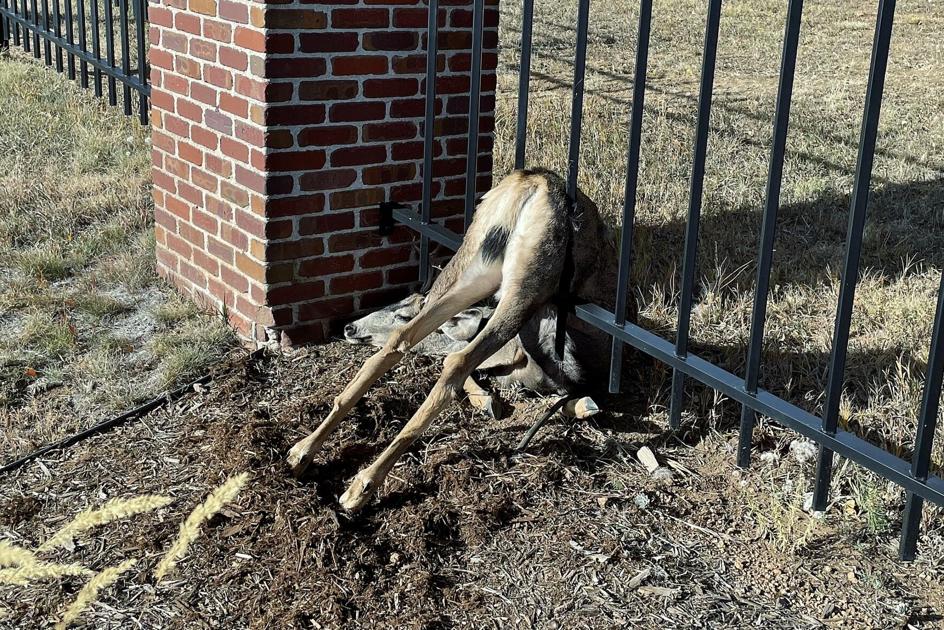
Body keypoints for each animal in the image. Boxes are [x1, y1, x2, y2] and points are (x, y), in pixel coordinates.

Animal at [287, 168, 624, 512]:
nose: (349, 329)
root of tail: (533, 180)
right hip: (524, 287)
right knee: (458, 362)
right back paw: (363, 484)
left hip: (471, 267)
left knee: (400, 341)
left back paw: (303, 451)